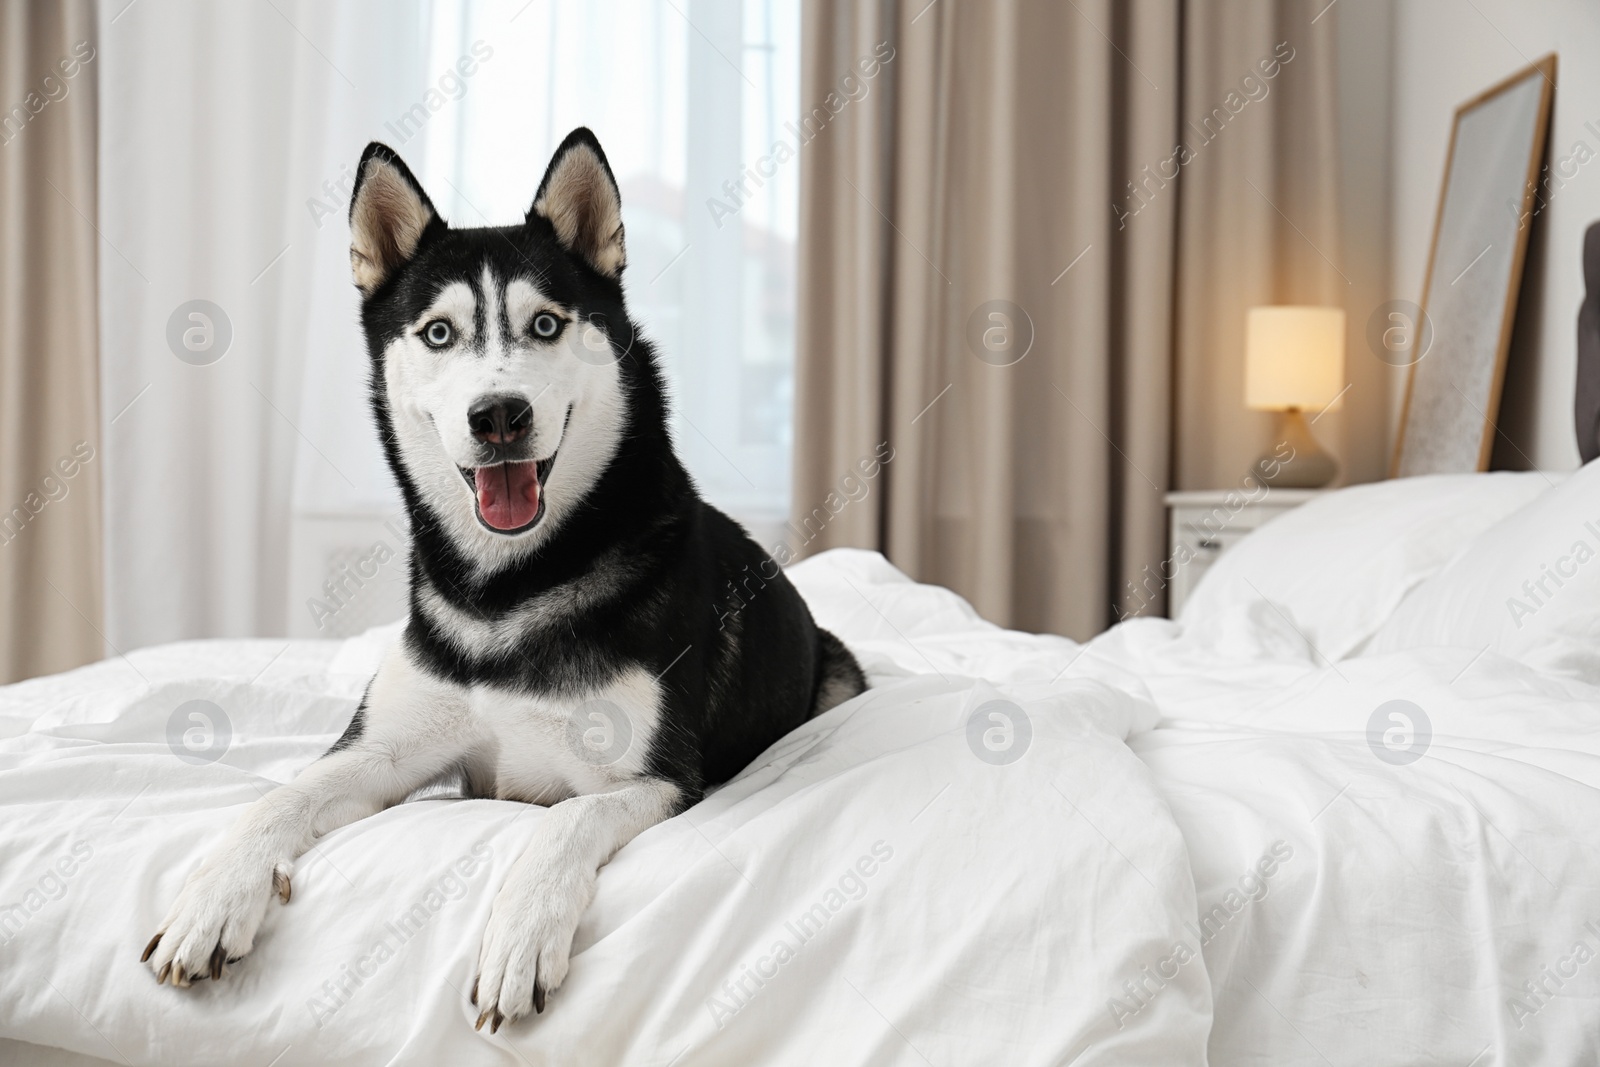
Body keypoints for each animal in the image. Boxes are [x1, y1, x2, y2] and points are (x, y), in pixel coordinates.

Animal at [144, 129, 870, 1030]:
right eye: (439, 333)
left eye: (547, 324)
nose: (498, 416)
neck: (507, 593)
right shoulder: (385, 750)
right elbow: (282, 797)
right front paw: (213, 897)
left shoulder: (661, 778)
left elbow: (562, 822)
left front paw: (521, 936)